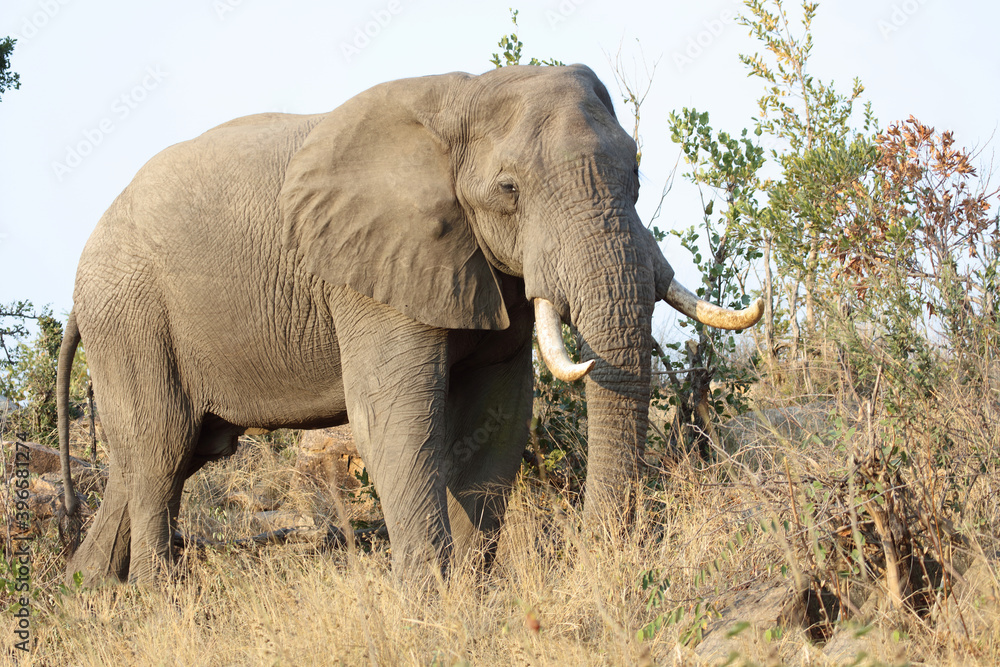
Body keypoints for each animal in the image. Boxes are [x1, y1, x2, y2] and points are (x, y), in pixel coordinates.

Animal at [56, 64, 762, 584]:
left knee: (163, 459)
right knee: (160, 451)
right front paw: (431, 600)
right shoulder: (368, 270)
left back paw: (92, 592)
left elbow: (495, 420)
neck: (465, 95)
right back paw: (159, 603)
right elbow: (395, 421)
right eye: (509, 190)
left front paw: (475, 591)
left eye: (636, 173)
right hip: (131, 316)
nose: (603, 552)